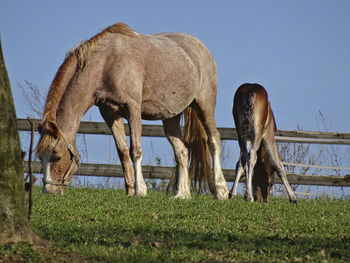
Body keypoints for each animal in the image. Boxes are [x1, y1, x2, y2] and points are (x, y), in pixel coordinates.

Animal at [37, 22, 230, 200]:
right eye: (40, 158)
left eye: (56, 156)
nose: (49, 191)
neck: (106, 64)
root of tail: (200, 47)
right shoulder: (110, 114)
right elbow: (122, 152)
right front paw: (130, 190)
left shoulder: (133, 109)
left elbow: (135, 151)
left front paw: (140, 190)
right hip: (171, 117)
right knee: (182, 151)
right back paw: (181, 194)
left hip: (204, 105)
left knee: (214, 139)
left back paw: (221, 191)